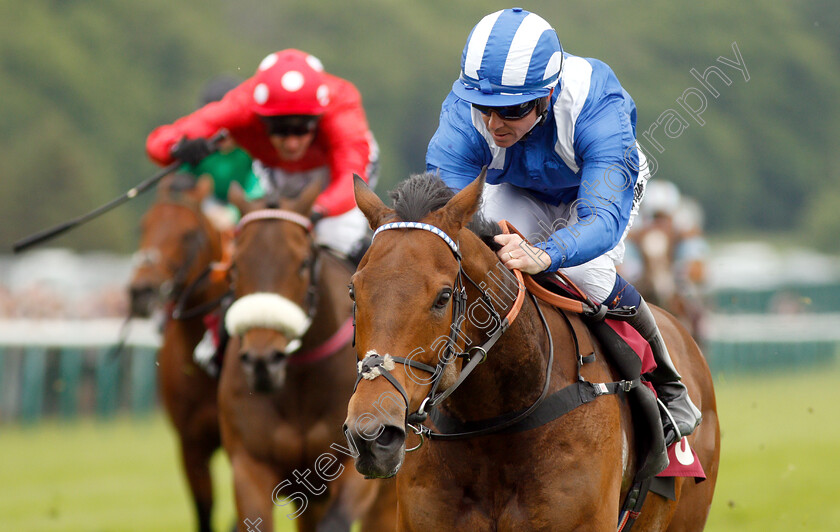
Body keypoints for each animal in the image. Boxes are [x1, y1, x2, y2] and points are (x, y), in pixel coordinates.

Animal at [220, 181, 398, 528]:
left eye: (302, 263)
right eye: (235, 265)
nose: (263, 361)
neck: (301, 385)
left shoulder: (358, 467)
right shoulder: (249, 466)